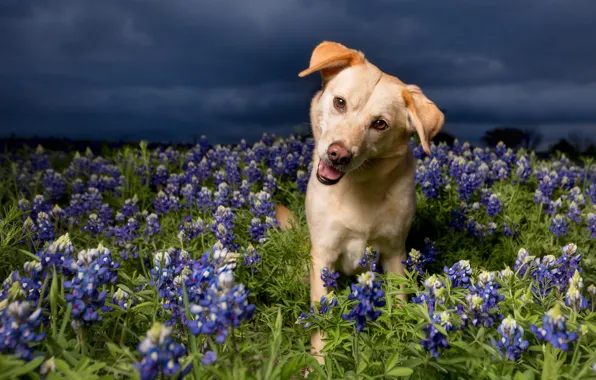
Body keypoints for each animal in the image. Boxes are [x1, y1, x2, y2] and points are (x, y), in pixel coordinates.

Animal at [274, 41, 442, 366]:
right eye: (340, 102)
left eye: (380, 124)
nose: (338, 154)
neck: (359, 186)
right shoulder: (323, 254)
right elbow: (322, 317)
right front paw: (320, 364)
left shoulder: (394, 252)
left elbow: (398, 302)